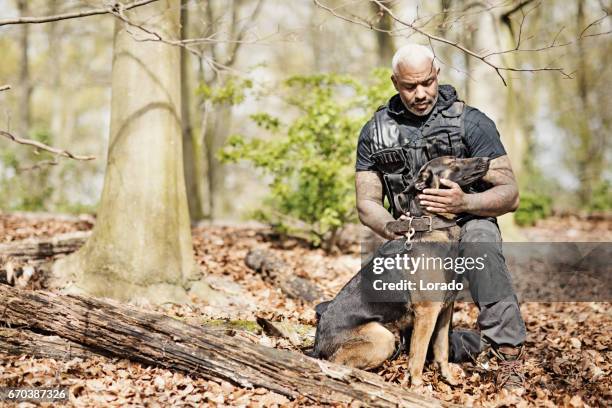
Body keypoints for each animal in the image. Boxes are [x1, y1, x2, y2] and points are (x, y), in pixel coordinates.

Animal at [308, 155, 490, 388]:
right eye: (452, 162)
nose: (487, 159)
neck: (435, 225)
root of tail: (317, 346)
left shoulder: (445, 310)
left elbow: (441, 350)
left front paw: (448, 379)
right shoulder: (427, 312)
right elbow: (418, 355)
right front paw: (418, 387)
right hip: (382, 337)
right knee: (337, 362)